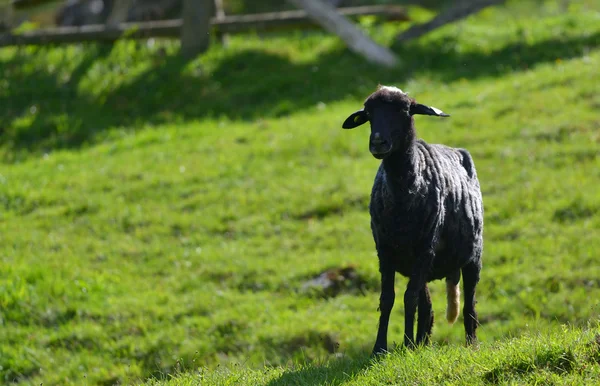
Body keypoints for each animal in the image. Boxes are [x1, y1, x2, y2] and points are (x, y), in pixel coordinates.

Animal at [342, 85, 482, 356]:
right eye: (368, 114)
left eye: (404, 110)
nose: (378, 142)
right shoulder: (385, 250)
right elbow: (388, 298)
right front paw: (379, 349)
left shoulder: (424, 249)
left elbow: (409, 299)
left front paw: (406, 345)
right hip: (423, 265)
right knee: (427, 309)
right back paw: (422, 344)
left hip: (472, 256)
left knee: (469, 305)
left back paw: (470, 345)